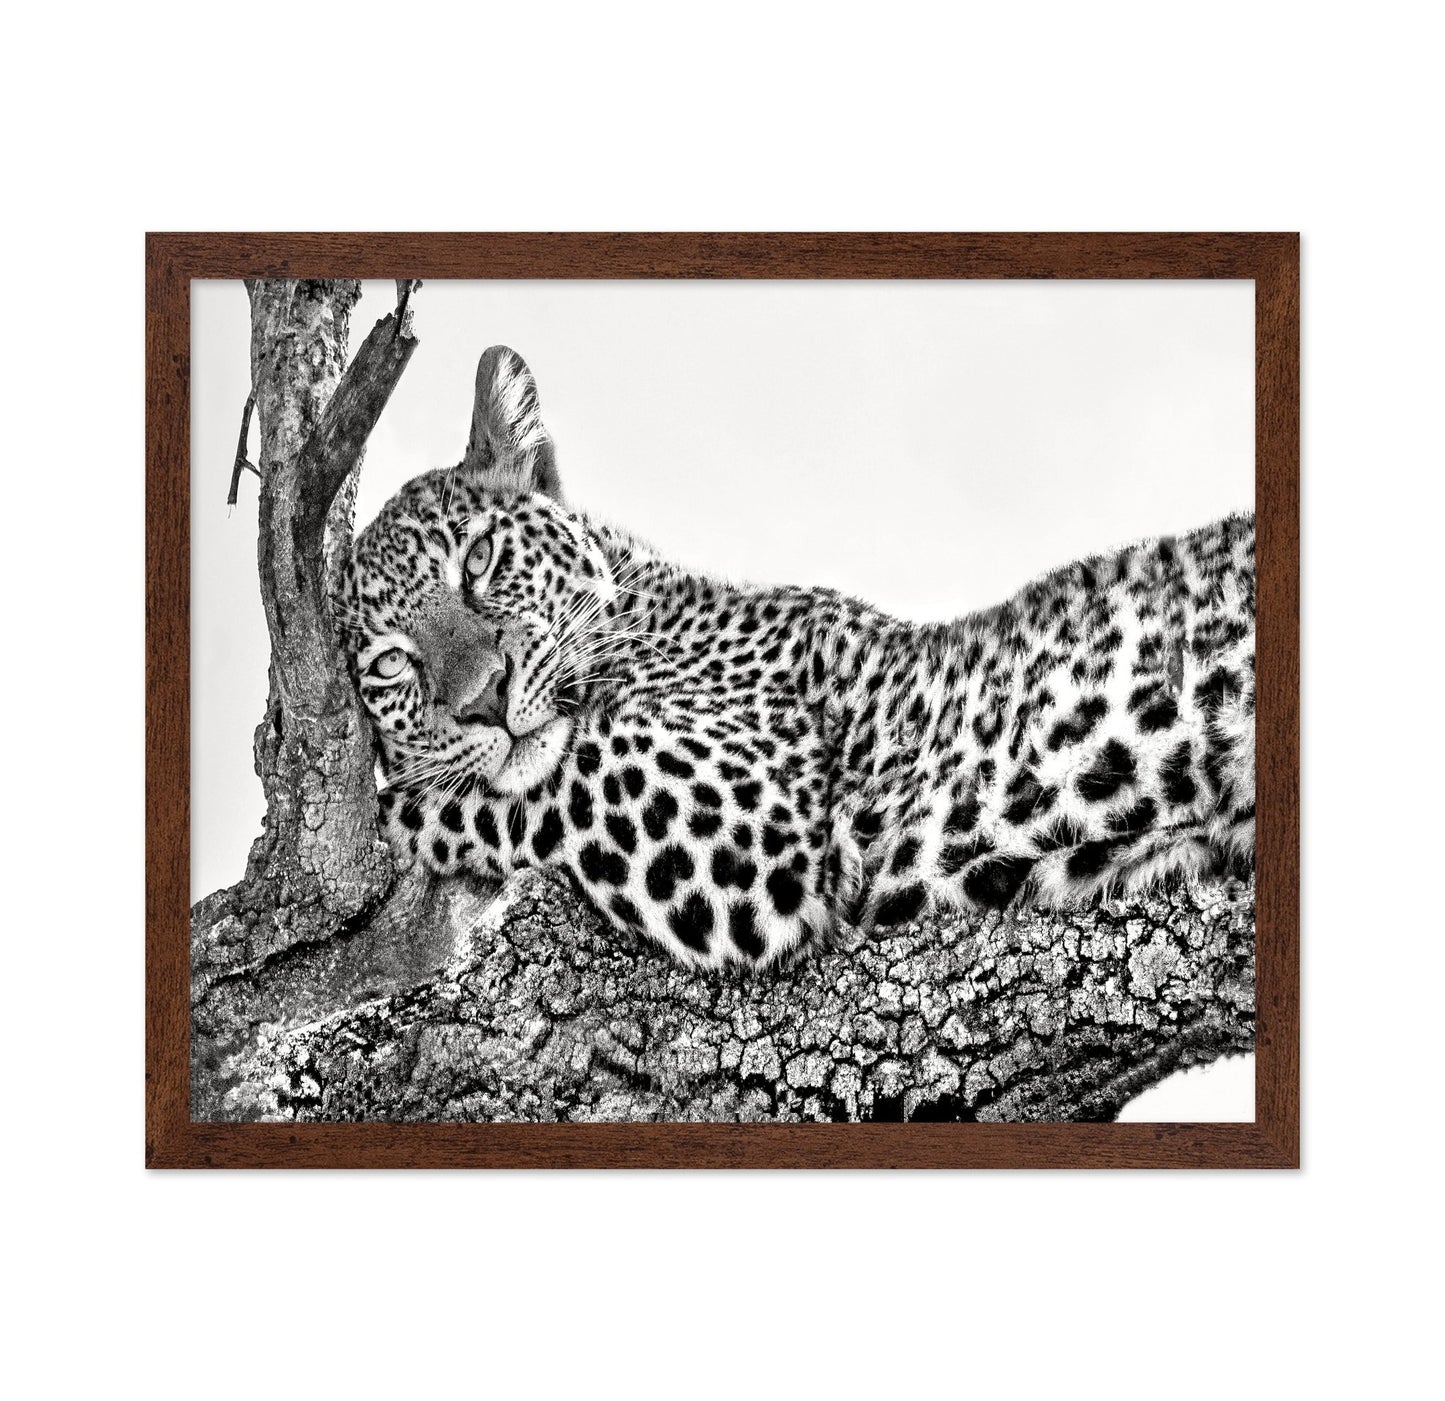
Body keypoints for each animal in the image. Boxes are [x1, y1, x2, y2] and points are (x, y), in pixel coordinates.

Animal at [342, 344, 1256, 970]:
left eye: (480, 559)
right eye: (389, 664)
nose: (484, 699)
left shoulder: (745, 816)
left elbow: (520, 790)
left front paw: (394, 807)